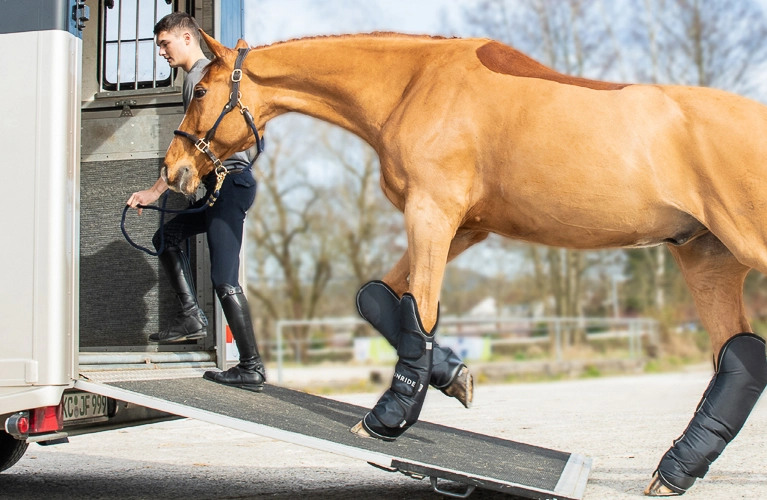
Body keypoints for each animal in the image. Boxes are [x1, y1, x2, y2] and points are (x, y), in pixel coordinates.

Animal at [161, 30, 767, 496]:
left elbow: (420, 311)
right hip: (705, 257)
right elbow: (378, 297)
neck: (415, 85)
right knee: (741, 358)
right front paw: (454, 377)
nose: (173, 170)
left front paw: (387, 419)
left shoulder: (433, 214)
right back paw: (675, 471)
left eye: (203, 89)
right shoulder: (465, 227)